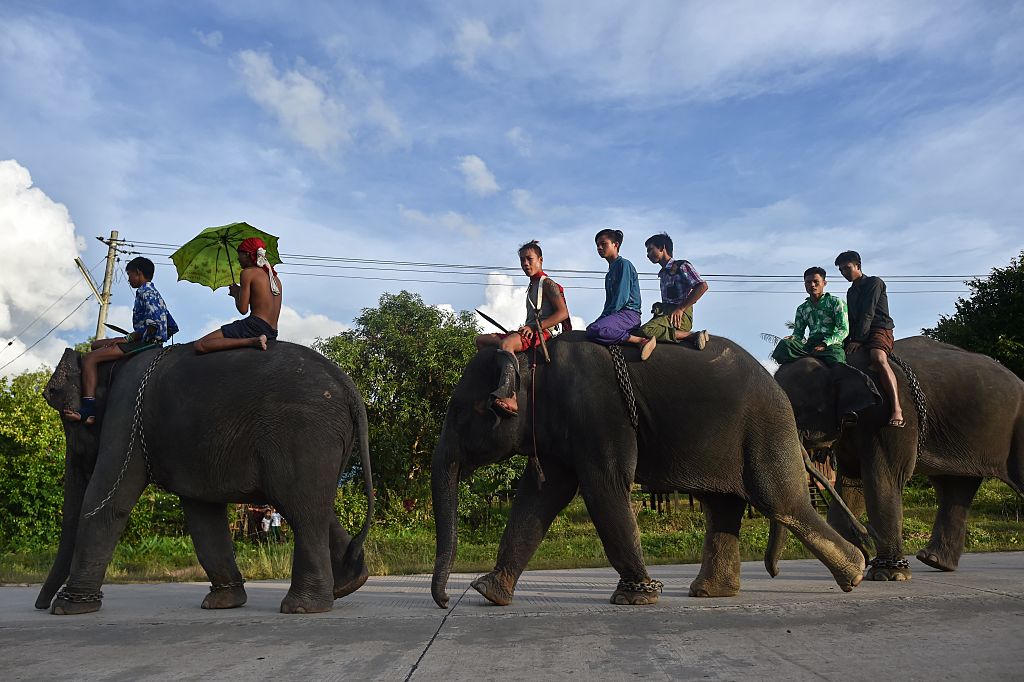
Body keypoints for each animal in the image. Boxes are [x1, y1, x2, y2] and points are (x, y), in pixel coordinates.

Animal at [37, 342, 374, 615]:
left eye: (69, 418)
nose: (41, 605)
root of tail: (348, 385)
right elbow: (203, 515)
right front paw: (223, 603)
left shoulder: (127, 414)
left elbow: (107, 501)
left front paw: (67, 609)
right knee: (313, 507)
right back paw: (348, 584)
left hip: (302, 431)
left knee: (301, 510)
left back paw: (302, 607)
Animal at [431, 331, 866, 609]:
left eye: (461, 412)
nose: (446, 601)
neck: (534, 358)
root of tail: (779, 393)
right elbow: (541, 495)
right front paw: (488, 592)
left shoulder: (601, 414)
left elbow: (604, 486)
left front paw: (636, 597)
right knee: (723, 507)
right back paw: (709, 593)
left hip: (765, 428)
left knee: (780, 503)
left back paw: (856, 575)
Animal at [773, 335, 1024, 581]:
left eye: (796, 410)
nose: (865, 536)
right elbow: (852, 483)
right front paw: (861, 557)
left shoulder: (889, 418)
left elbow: (882, 479)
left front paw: (887, 574)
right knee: (955, 487)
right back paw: (934, 561)